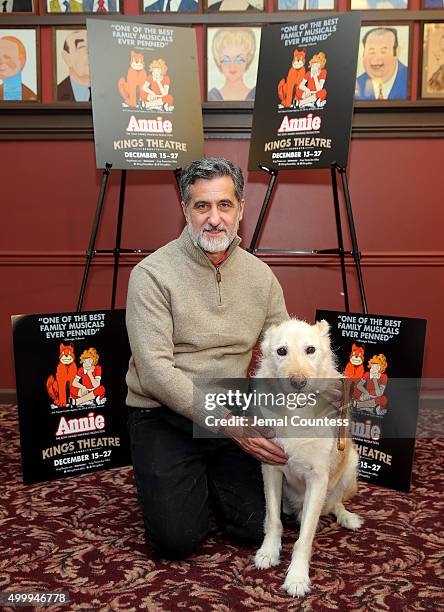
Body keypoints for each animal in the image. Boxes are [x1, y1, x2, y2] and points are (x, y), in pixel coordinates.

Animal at [253, 320, 360, 596]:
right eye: (281, 351)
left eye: (310, 349)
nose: (298, 382)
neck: (296, 414)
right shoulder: (271, 468)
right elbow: (273, 519)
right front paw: (268, 552)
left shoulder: (318, 480)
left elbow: (304, 539)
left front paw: (297, 577)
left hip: (350, 465)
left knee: (335, 503)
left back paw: (347, 517)